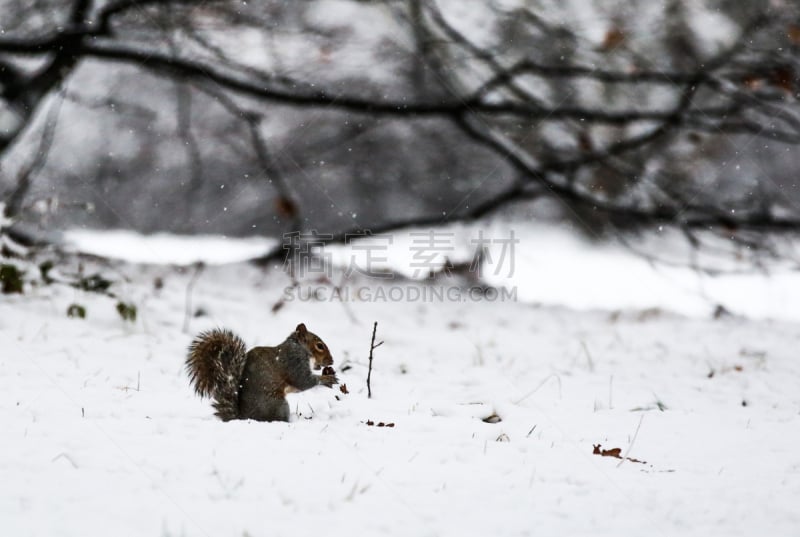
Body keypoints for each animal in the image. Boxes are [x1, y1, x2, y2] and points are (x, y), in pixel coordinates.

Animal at [187, 322, 338, 422]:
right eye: (319, 346)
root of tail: (243, 417)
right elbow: (303, 381)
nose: (331, 361)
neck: (299, 347)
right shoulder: (294, 362)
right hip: (279, 405)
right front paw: (327, 379)